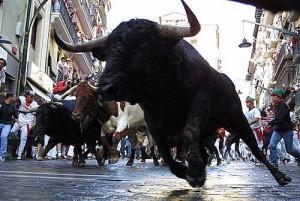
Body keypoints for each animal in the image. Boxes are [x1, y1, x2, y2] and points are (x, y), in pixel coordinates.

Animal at [54, 0, 292, 188]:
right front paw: (185, 171)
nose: (105, 87)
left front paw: (194, 173)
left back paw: (279, 176)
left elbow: (187, 131)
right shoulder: (152, 121)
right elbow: (162, 149)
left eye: (143, 46)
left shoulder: (200, 102)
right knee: (205, 149)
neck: (163, 94)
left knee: (255, 147)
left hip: (237, 120)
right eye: (108, 52)